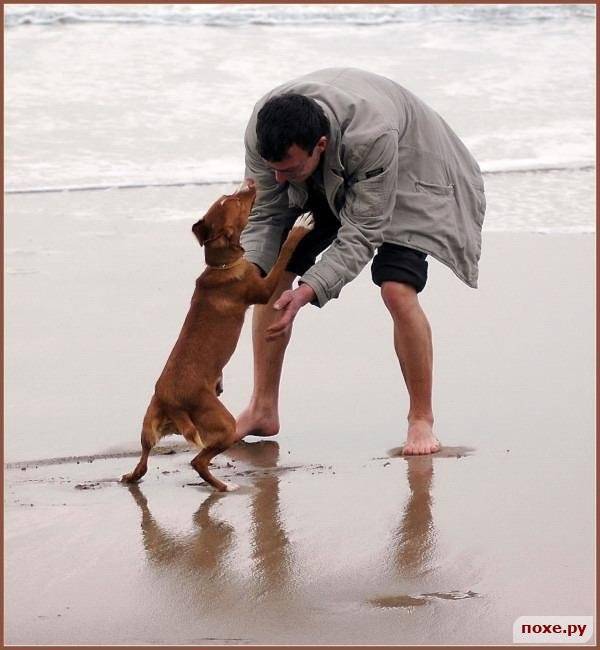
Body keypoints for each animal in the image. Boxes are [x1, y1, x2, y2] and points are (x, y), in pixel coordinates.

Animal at [123, 180, 318, 488]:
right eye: (236, 202)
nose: (251, 181)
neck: (221, 266)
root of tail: (172, 403)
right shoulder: (263, 290)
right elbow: (284, 252)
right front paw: (299, 227)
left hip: (149, 426)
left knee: (143, 462)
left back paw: (130, 477)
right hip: (224, 424)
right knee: (198, 461)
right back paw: (226, 485)